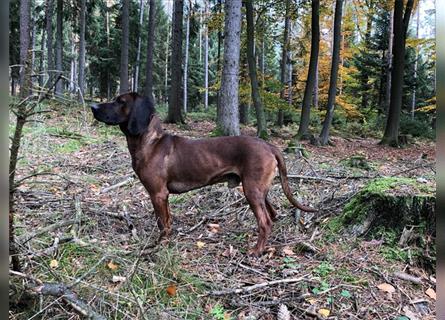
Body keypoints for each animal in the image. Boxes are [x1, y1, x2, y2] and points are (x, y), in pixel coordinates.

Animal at [90, 92, 314, 255]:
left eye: (120, 101)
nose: (93, 106)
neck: (150, 142)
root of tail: (269, 145)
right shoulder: (163, 196)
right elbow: (167, 221)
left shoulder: (158, 194)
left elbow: (162, 223)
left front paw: (160, 245)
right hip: (259, 190)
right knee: (272, 215)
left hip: (252, 190)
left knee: (265, 222)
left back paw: (256, 251)